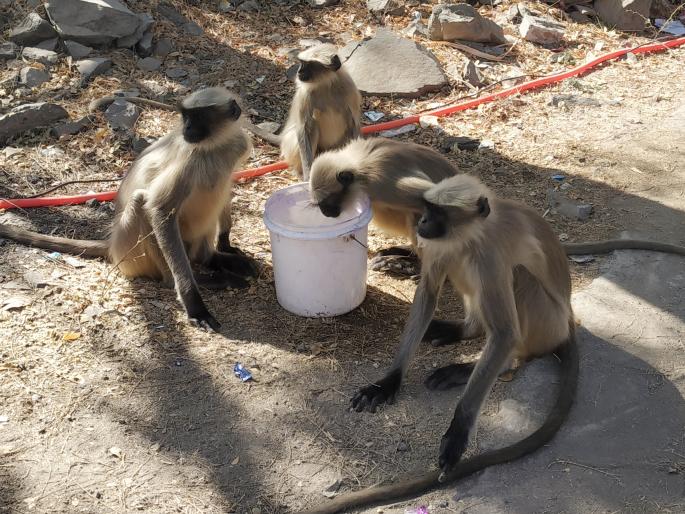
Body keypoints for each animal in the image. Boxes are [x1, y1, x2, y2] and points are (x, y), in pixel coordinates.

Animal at [0, 87, 257, 331]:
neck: (216, 147)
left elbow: (228, 185)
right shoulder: (189, 157)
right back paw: (195, 278)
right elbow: (159, 210)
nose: (187, 127)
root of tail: (113, 244)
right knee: (142, 202)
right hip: (131, 250)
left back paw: (215, 258)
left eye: (198, 117)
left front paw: (226, 243)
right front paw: (194, 304)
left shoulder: (238, 145)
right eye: (186, 117)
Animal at [279, 43, 362, 181]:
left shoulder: (350, 89)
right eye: (302, 63)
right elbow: (304, 129)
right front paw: (308, 177)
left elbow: (354, 124)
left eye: (310, 65)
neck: (325, 85)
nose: (299, 71)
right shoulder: (305, 94)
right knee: (310, 125)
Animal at [301, 174, 580, 514]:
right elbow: (428, 293)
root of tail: (567, 321)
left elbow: (504, 333)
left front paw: (459, 431)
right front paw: (388, 382)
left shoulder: (489, 253)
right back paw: (463, 330)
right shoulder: (442, 244)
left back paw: (486, 365)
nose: (422, 221)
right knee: (461, 271)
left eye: (438, 212)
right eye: (426, 208)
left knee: (516, 279)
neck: (473, 232)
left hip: (543, 319)